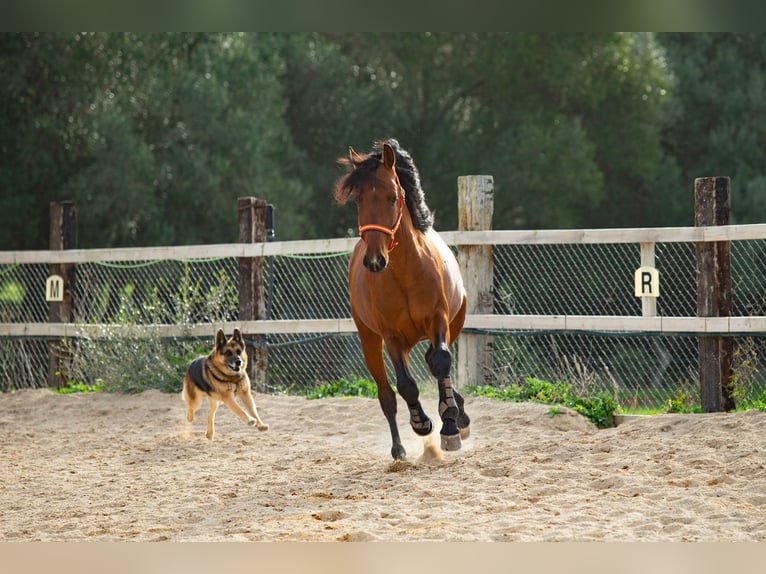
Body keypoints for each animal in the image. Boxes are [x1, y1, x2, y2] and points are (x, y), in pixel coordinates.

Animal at [334, 138, 471, 460]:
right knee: (387, 394)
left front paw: (450, 426)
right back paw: (398, 449)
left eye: (393, 196)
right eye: (358, 200)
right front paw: (422, 423)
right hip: (370, 340)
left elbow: (442, 361)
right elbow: (406, 385)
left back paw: (458, 413)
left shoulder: (439, 320)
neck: (407, 272)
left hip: (453, 323)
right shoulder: (391, 336)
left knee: (433, 360)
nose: (374, 261)